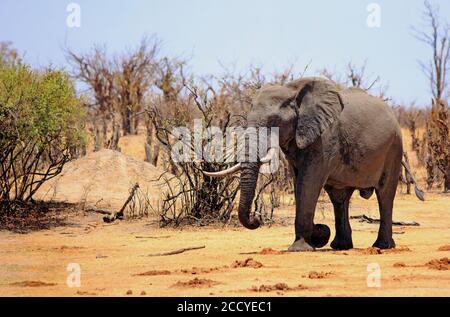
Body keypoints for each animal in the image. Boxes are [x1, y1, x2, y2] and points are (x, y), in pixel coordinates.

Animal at [202, 76, 424, 249]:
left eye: (274, 121)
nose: (257, 217)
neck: (293, 92)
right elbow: (298, 182)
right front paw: (313, 238)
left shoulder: (325, 138)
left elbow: (309, 181)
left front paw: (301, 247)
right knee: (339, 197)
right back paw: (340, 246)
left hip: (394, 147)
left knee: (385, 194)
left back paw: (382, 246)